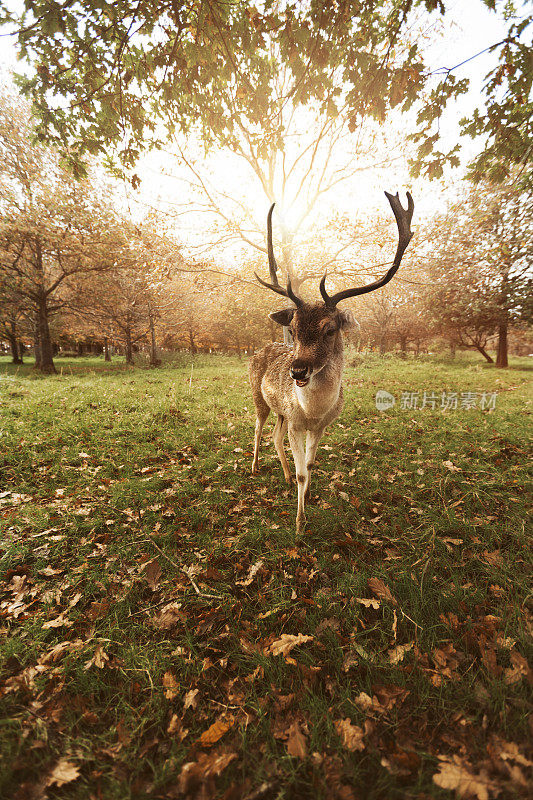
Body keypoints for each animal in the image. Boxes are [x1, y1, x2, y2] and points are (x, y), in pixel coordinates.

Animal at [249, 191, 416, 536]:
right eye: (293, 329)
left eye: (330, 329)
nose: (297, 370)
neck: (313, 412)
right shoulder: (297, 423)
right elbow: (302, 468)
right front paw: (299, 525)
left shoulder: (320, 425)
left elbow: (310, 465)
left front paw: (308, 494)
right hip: (257, 396)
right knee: (257, 428)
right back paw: (255, 466)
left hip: (280, 412)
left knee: (274, 436)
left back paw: (285, 476)